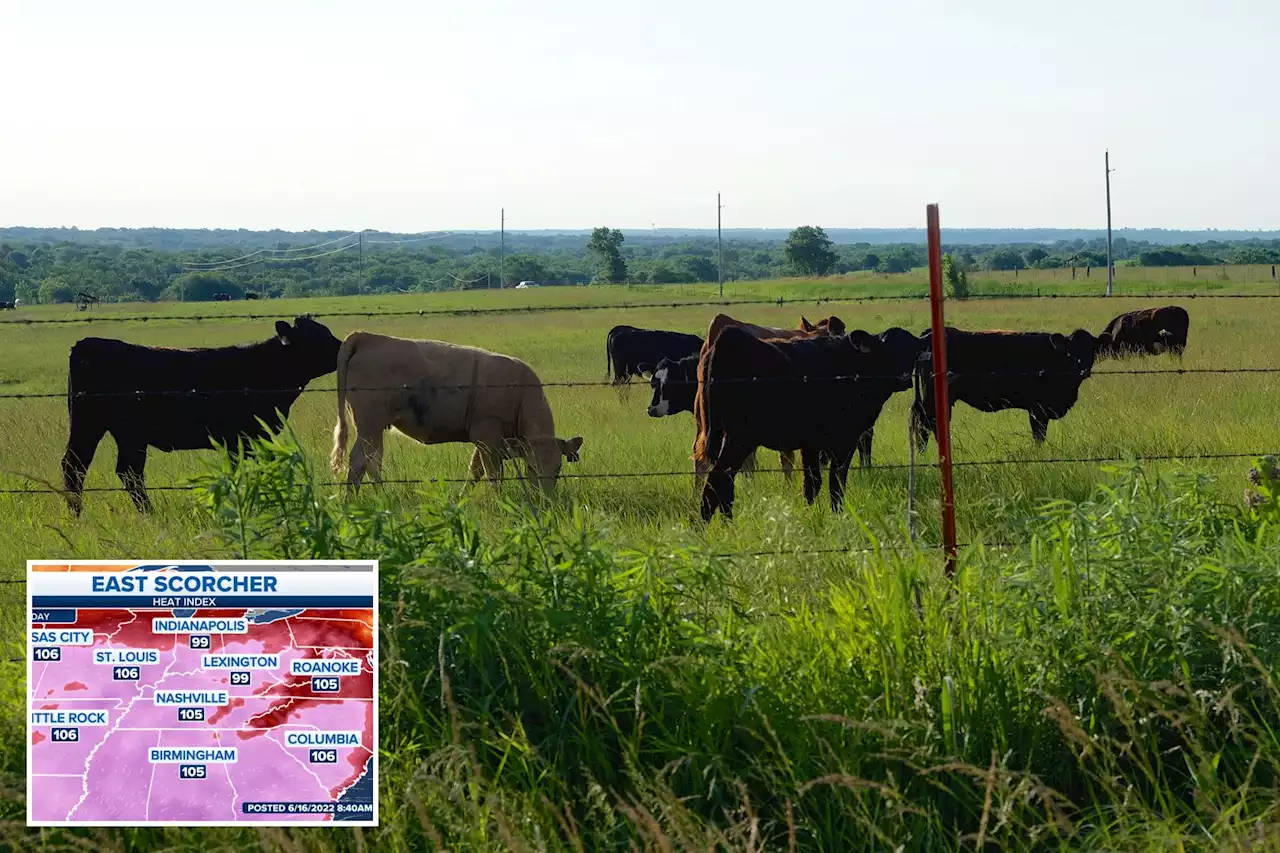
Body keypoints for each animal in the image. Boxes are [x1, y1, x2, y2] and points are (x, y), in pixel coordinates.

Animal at [60, 312, 343, 512]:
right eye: (317, 337)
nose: (343, 348)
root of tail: (86, 345)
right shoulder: (240, 438)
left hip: (126, 434)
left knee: (125, 471)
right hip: (91, 425)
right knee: (78, 466)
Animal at [335, 333, 586, 491]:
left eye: (558, 469)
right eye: (532, 468)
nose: (545, 499)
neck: (520, 394)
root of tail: (367, 337)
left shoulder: (484, 440)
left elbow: (474, 472)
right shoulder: (487, 436)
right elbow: (493, 475)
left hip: (375, 428)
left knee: (372, 461)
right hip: (369, 425)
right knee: (360, 461)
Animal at [691, 327, 911, 522]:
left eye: (912, 350)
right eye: (885, 352)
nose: (906, 379)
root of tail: (729, 338)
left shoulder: (812, 444)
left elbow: (812, 483)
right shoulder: (844, 440)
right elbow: (836, 483)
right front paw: (837, 517)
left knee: (724, 484)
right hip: (739, 438)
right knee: (716, 483)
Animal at [911, 325, 1100, 448]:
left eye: (1092, 351)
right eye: (1070, 351)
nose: (1082, 369)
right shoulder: (1037, 409)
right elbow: (1039, 435)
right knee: (924, 421)